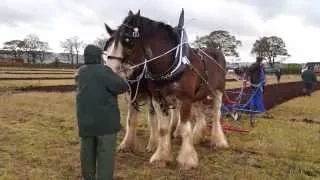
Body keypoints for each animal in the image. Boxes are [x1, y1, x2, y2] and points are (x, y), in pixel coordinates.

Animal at [104, 9, 228, 170]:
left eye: (127, 40)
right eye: (108, 44)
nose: (109, 70)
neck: (171, 62)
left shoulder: (185, 99)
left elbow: (184, 127)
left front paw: (187, 160)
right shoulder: (155, 98)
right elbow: (161, 128)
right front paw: (160, 156)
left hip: (217, 92)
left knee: (215, 115)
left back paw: (218, 141)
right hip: (198, 96)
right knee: (200, 115)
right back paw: (196, 137)